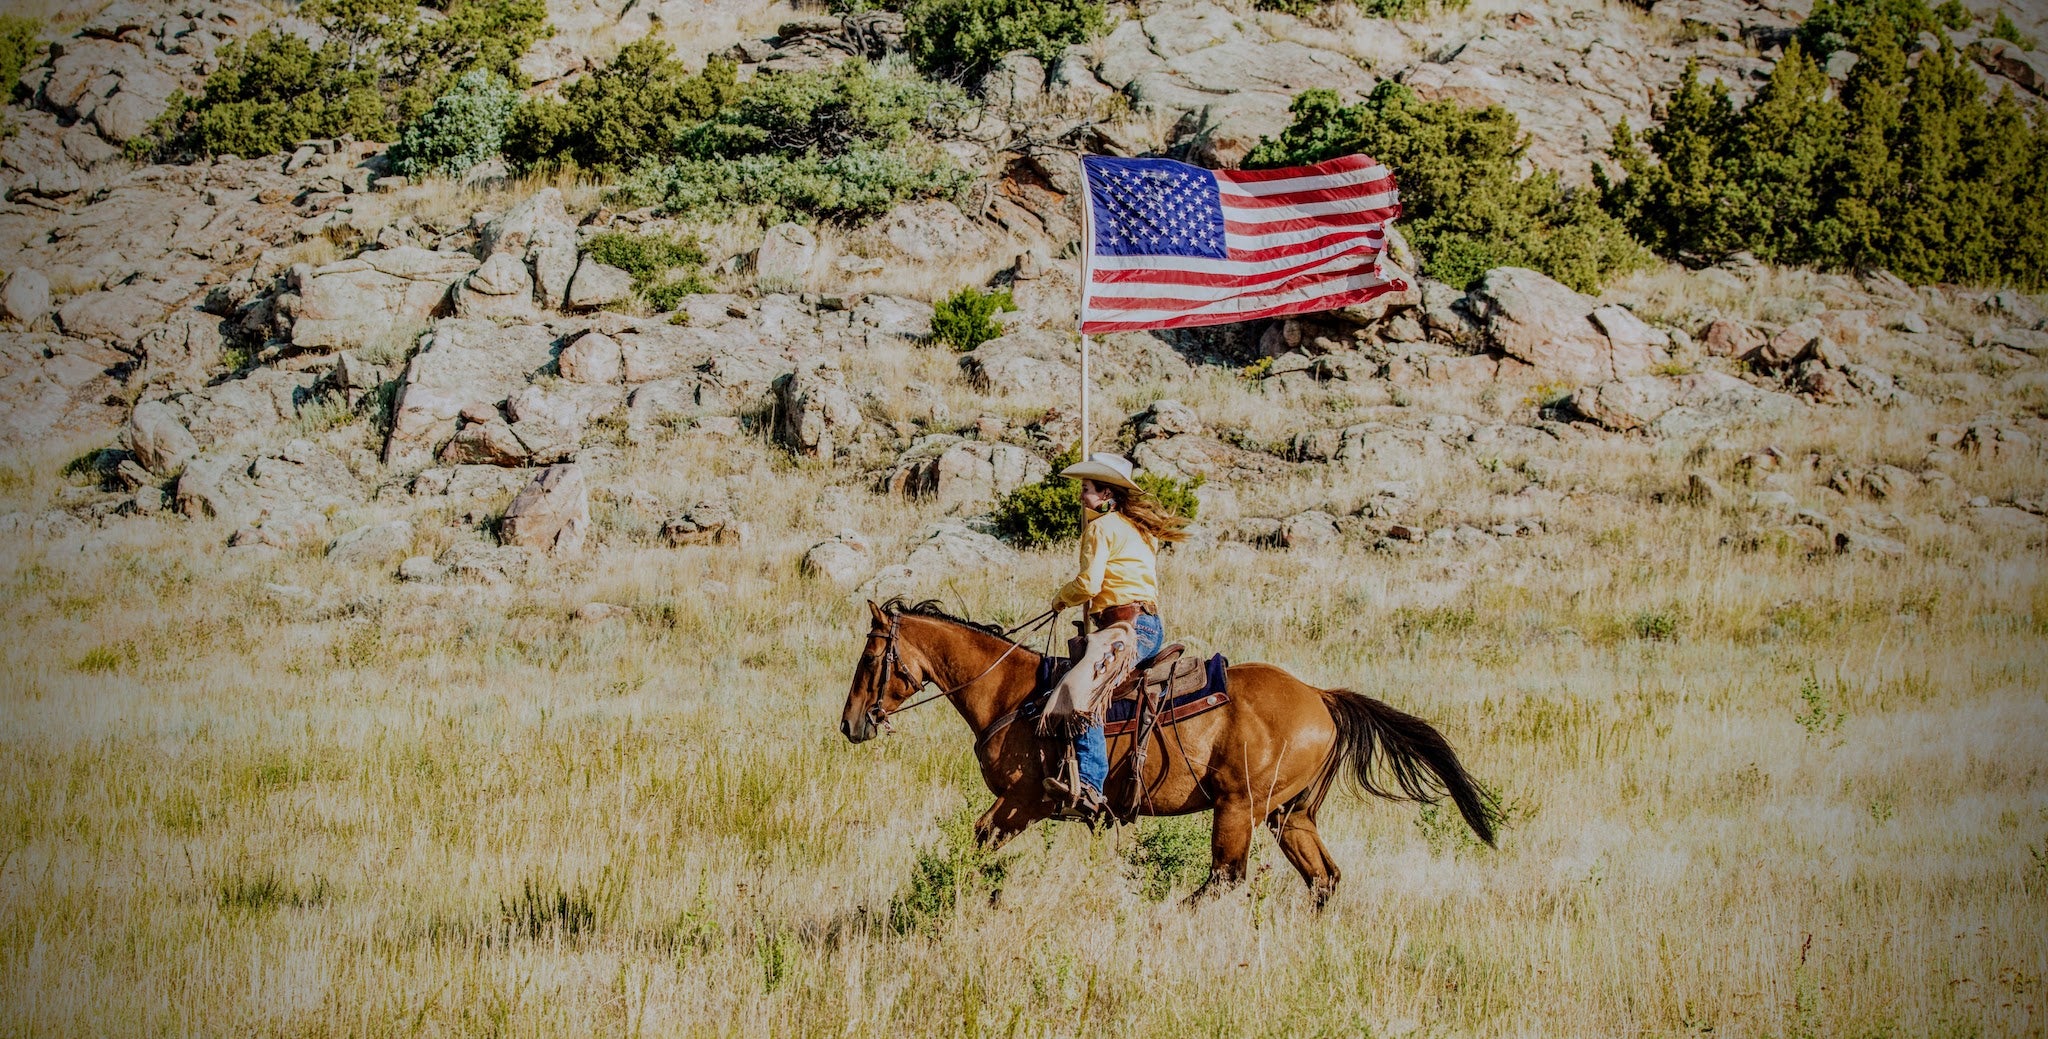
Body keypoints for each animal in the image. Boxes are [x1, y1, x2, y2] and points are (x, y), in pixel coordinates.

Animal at [839, 598, 1499, 905]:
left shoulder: (1023, 802)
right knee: (1323, 879)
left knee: (1224, 879)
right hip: (1290, 817)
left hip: (1238, 810)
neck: (1013, 694)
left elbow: (977, 844)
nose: (850, 725)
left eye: (870, 658)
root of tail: (1320, 696)